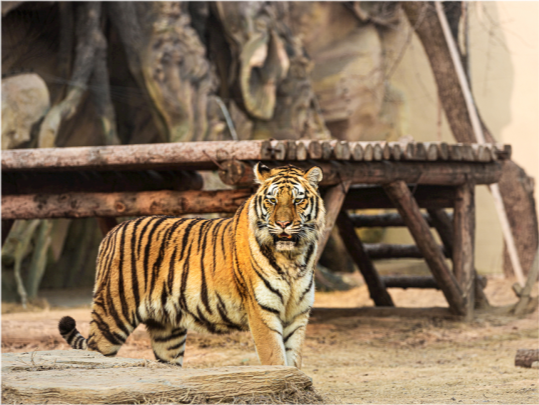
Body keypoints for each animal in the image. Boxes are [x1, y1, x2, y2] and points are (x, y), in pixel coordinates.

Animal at [60, 163, 326, 368]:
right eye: (272, 200)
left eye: (298, 200)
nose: (282, 224)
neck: (293, 258)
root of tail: (112, 233)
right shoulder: (262, 312)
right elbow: (275, 360)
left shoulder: (297, 314)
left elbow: (294, 362)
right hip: (112, 315)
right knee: (94, 352)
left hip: (167, 331)